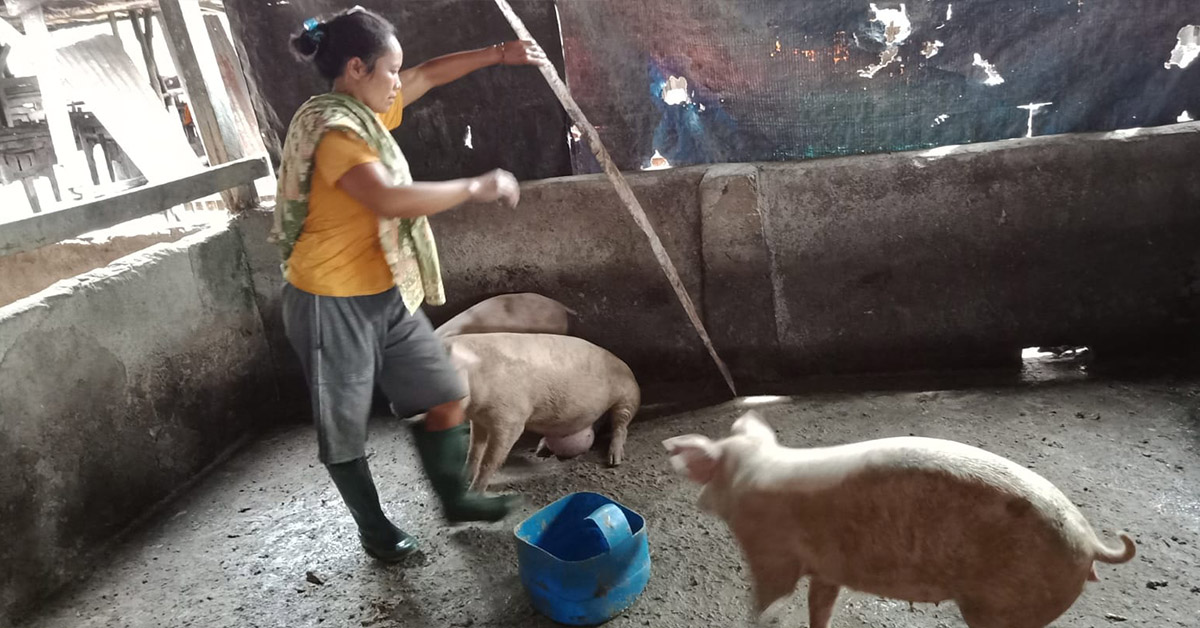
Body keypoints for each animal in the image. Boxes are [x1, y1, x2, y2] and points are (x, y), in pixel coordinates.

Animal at [448, 331, 638, 494]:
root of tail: (627, 366)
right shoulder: (478, 419)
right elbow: (473, 452)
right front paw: (462, 479)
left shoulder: (511, 418)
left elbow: (489, 460)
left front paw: (473, 493)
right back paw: (540, 450)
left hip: (627, 399)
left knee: (621, 427)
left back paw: (614, 461)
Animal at [662, 413, 1137, 628]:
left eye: (708, 474)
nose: (700, 501)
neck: (750, 473)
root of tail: (1091, 542)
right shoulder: (828, 570)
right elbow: (820, 605)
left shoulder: (770, 552)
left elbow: (769, 598)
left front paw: (756, 617)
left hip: (1004, 605)